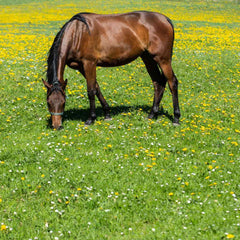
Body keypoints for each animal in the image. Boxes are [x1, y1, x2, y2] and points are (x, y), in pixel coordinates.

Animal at [42, 11, 180, 129]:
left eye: (64, 102)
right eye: (48, 102)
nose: (56, 126)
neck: (78, 32)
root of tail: (165, 19)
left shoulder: (89, 63)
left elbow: (91, 91)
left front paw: (91, 119)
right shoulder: (81, 67)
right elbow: (97, 87)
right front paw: (107, 113)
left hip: (163, 59)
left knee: (172, 82)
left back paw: (176, 118)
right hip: (148, 58)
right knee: (158, 82)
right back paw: (152, 114)